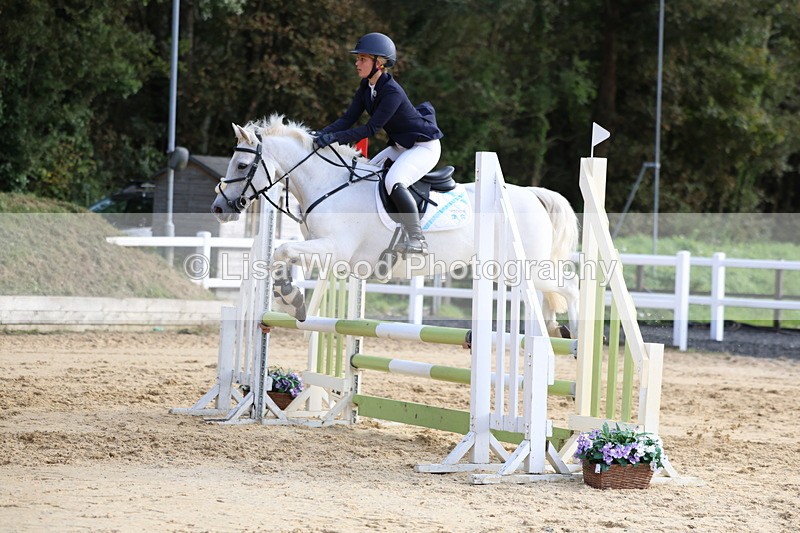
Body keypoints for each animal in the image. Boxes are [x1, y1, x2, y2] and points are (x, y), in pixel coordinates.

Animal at [211, 114, 580, 337]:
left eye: (241, 165)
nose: (219, 208)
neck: (328, 183)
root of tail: (532, 194)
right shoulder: (328, 253)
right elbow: (280, 258)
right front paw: (291, 298)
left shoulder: (335, 249)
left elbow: (282, 251)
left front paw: (290, 297)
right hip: (511, 270)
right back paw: (552, 330)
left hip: (526, 267)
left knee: (569, 288)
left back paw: (572, 336)